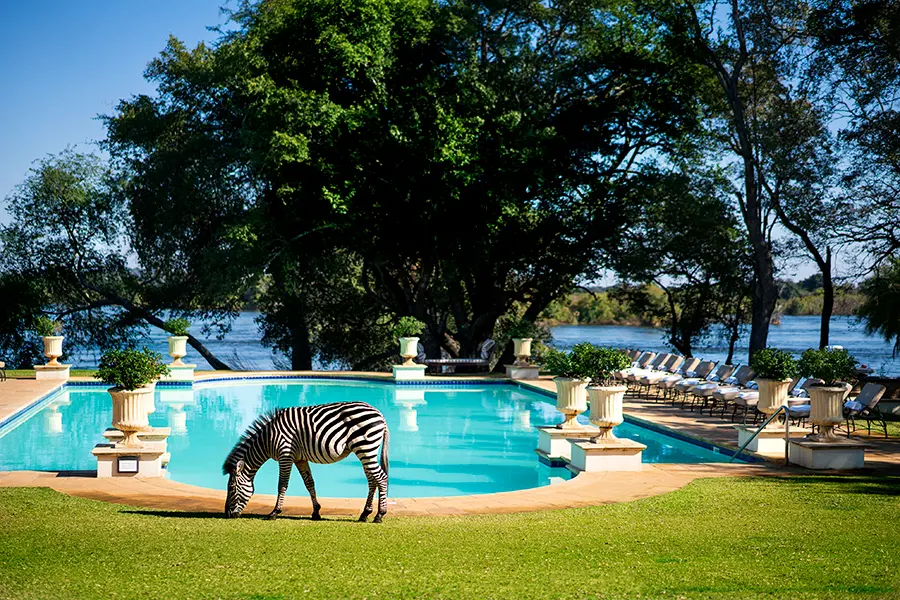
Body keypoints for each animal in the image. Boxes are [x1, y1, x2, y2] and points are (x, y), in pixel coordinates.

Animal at [222, 400, 390, 524]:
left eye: (231, 487)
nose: (227, 515)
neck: (268, 440)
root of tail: (380, 415)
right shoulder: (300, 459)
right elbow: (309, 483)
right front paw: (316, 512)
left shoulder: (285, 455)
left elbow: (282, 485)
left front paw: (274, 512)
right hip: (366, 451)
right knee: (372, 480)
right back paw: (365, 514)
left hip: (365, 448)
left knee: (381, 478)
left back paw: (379, 515)